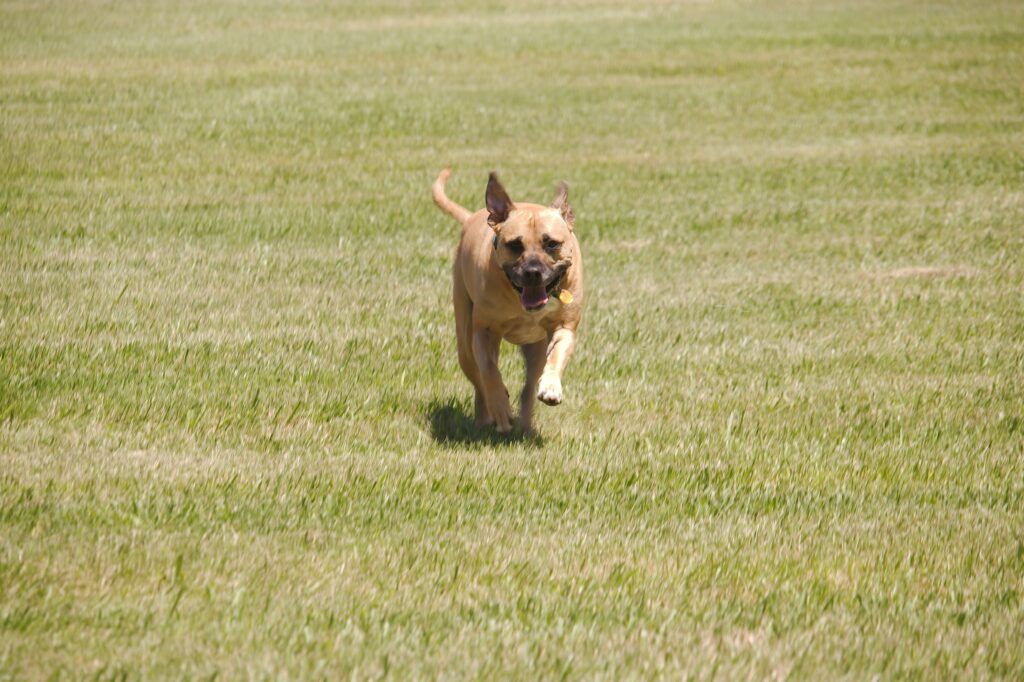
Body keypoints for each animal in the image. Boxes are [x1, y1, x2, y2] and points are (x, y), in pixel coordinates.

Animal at [430, 167, 585, 432]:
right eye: (514, 245)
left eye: (552, 243)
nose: (533, 272)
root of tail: (471, 218)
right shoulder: (483, 332)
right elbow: (490, 372)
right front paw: (501, 408)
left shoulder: (565, 328)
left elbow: (557, 355)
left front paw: (551, 387)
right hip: (465, 344)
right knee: (479, 381)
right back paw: (488, 417)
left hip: (535, 348)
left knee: (529, 385)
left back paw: (526, 424)